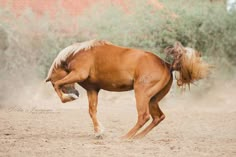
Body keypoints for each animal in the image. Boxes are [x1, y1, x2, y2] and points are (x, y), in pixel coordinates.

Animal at [45, 39, 209, 139]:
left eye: (51, 82)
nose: (75, 93)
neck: (79, 53)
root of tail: (167, 64)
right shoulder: (93, 90)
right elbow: (92, 111)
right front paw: (99, 132)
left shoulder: (79, 74)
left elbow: (59, 85)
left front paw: (68, 98)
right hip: (153, 99)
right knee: (158, 117)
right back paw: (137, 137)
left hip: (141, 94)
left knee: (144, 116)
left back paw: (126, 137)